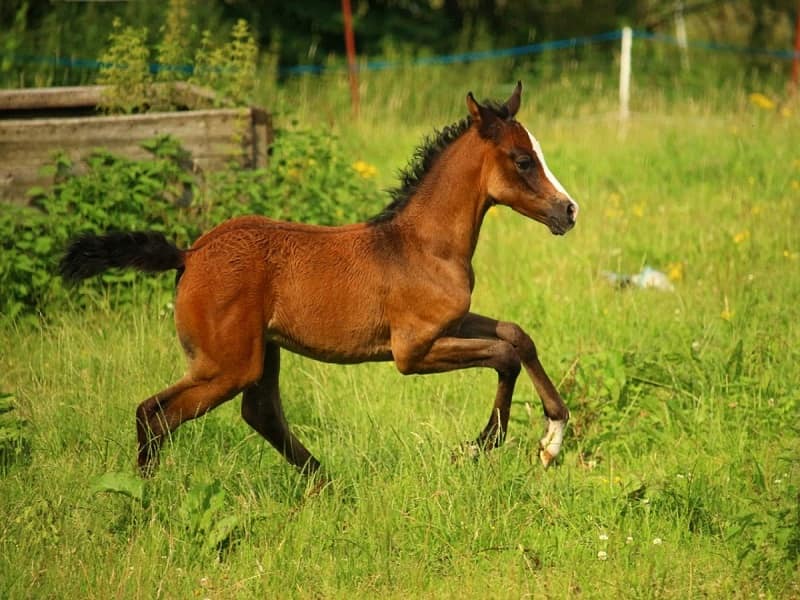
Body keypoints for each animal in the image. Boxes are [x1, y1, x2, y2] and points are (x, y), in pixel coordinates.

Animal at [59, 81, 579, 478]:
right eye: (523, 160)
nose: (569, 210)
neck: (422, 245)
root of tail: (189, 255)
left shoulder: (449, 323)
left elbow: (517, 336)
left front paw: (551, 438)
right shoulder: (412, 351)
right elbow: (504, 354)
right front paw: (482, 444)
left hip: (259, 354)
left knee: (259, 412)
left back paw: (324, 482)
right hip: (225, 366)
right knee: (155, 414)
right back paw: (145, 496)